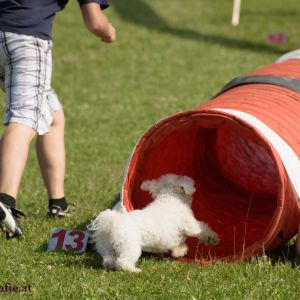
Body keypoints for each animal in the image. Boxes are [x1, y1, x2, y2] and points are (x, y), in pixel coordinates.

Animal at [88, 172, 218, 274]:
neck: (169, 198)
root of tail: (112, 223)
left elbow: (179, 244)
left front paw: (179, 252)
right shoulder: (190, 224)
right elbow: (202, 229)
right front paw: (213, 239)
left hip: (107, 247)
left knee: (108, 259)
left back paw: (111, 266)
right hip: (130, 246)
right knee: (122, 262)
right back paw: (134, 270)